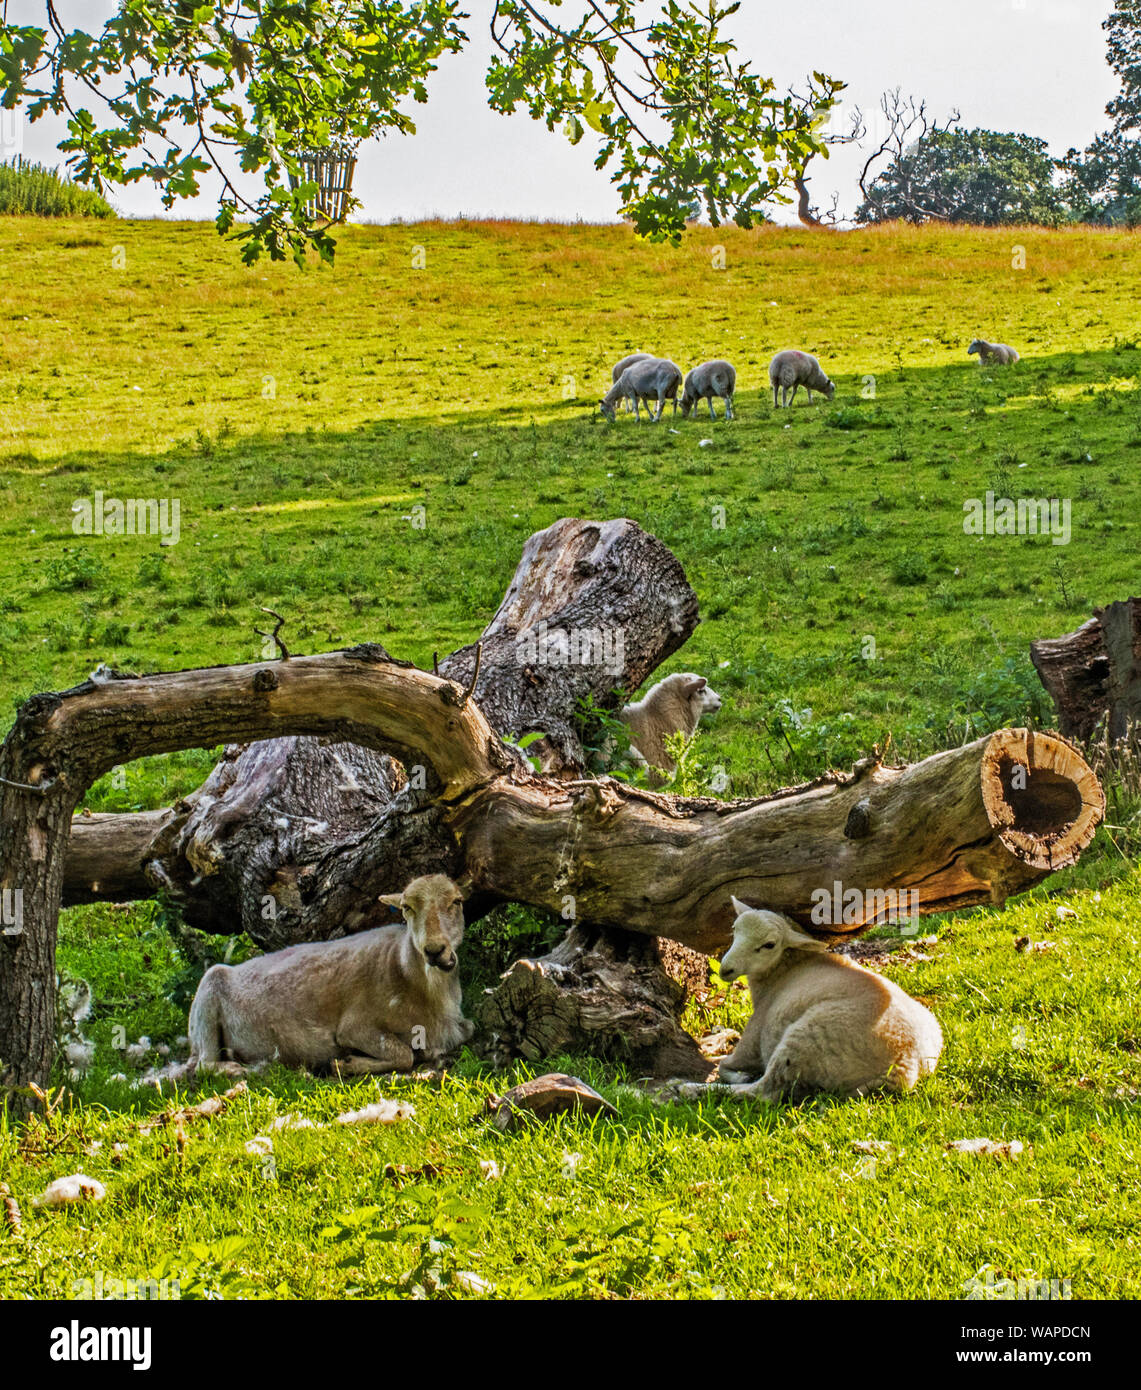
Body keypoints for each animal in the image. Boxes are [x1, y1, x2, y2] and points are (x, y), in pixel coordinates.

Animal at [186, 873, 474, 1076]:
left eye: (457, 901)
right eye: (406, 907)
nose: (434, 951)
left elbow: (466, 1030)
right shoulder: (354, 1026)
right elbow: (403, 1055)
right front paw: (345, 1063)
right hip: (207, 995)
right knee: (204, 1065)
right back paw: (236, 1070)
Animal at [714, 899, 943, 1101]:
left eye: (769, 945)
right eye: (734, 929)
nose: (725, 969)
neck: (784, 970)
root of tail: (907, 1064)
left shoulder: (752, 1041)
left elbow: (724, 1065)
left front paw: (737, 1074)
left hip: (806, 1039)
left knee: (763, 1092)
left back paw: (707, 1090)